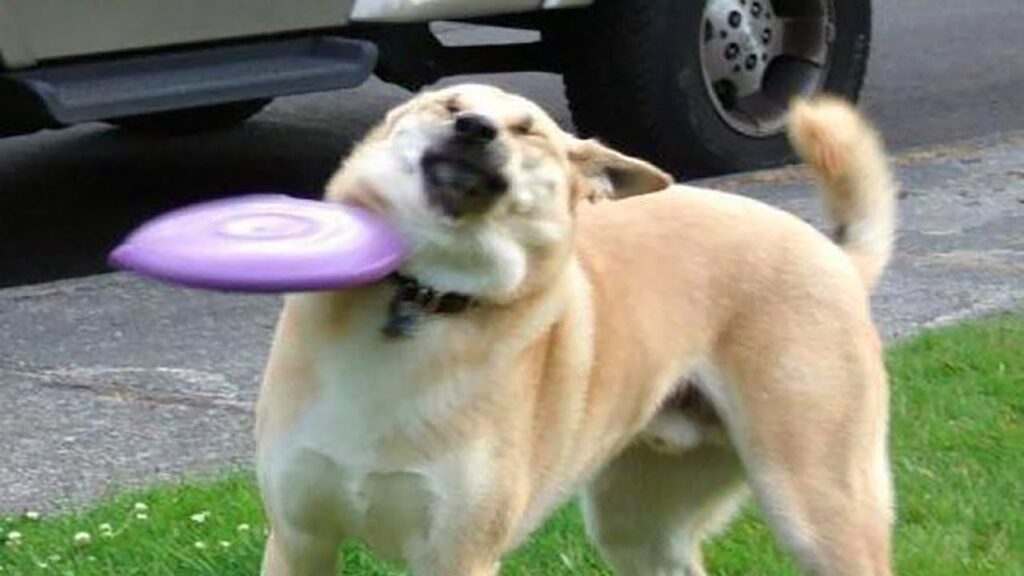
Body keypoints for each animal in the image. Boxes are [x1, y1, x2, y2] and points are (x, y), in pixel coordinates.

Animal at [256, 85, 897, 573]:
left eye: (527, 130)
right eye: (449, 104)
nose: (475, 128)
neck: (422, 295)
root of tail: (839, 258)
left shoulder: (458, 555)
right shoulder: (298, 539)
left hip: (817, 502)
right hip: (638, 523)